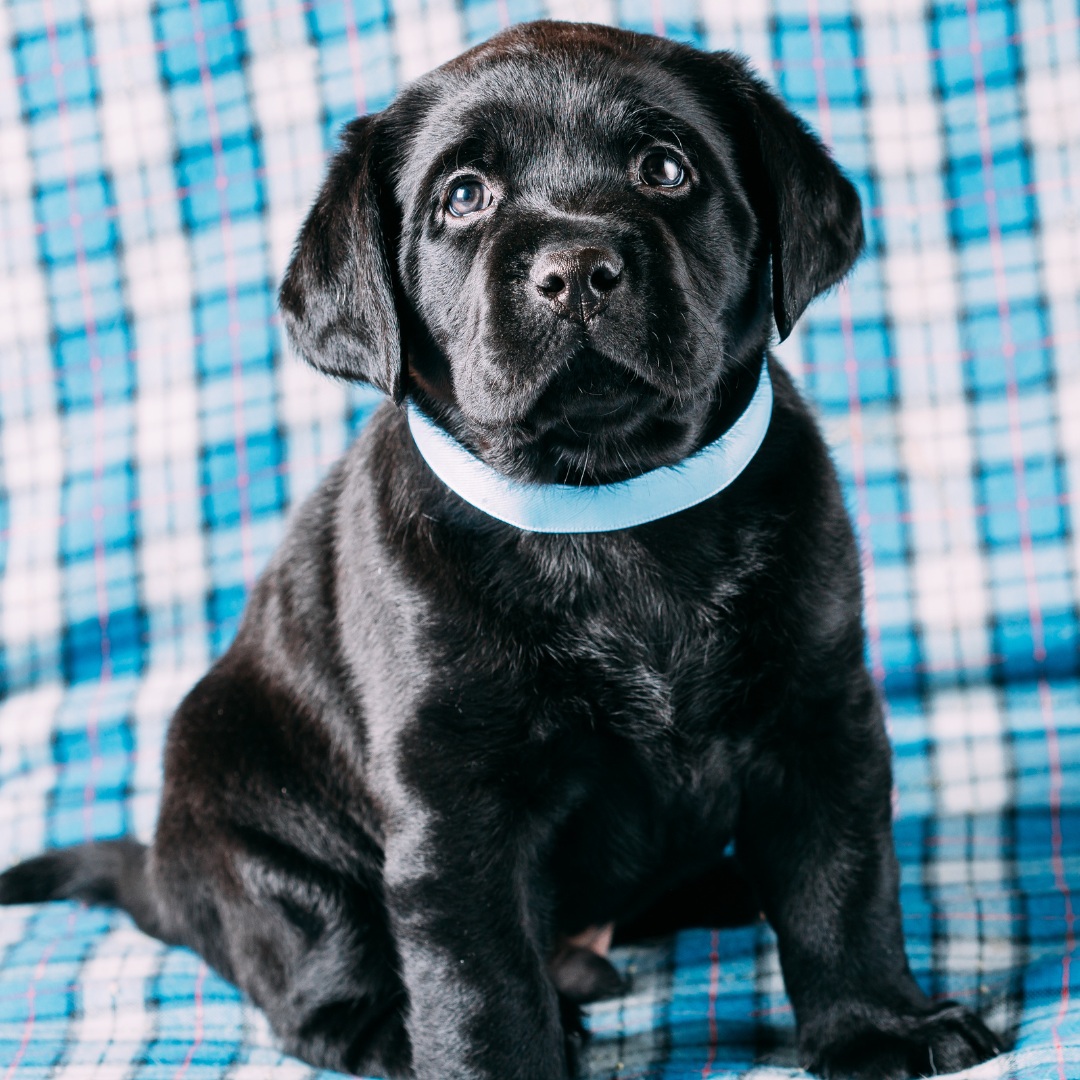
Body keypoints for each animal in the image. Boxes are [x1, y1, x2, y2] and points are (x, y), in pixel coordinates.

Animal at [0, 19, 997, 1080]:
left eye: (665, 167)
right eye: (464, 195)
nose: (577, 268)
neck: (607, 509)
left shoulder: (815, 717)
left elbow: (839, 889)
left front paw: (878, 1024)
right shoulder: (453, 799)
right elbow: (478, 976)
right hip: (260, 845)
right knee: (321, 978)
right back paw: (390, 1030)